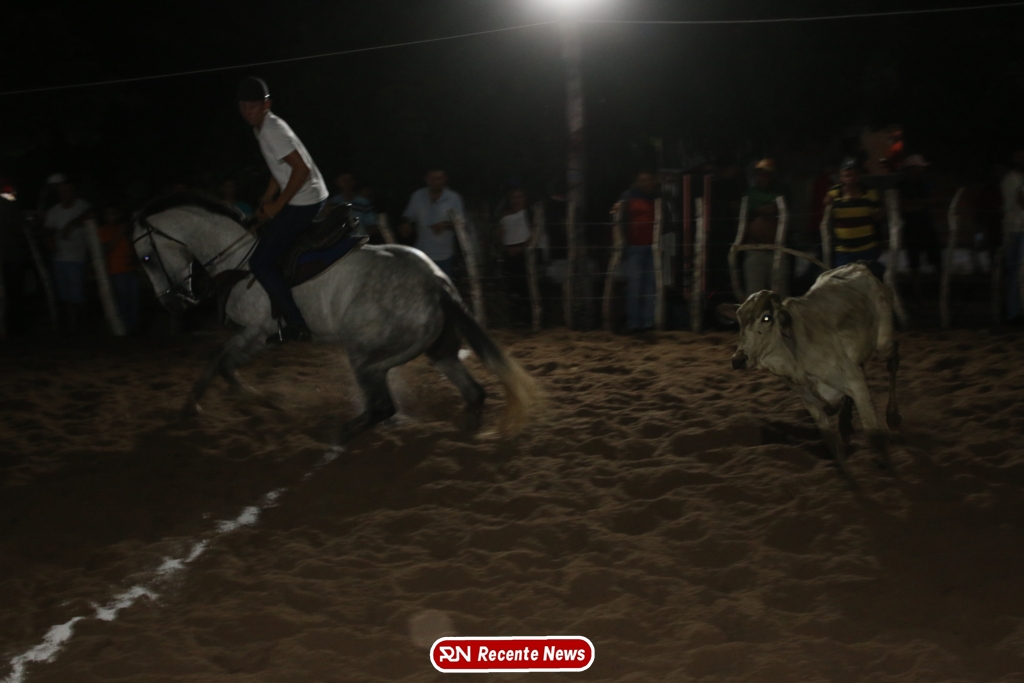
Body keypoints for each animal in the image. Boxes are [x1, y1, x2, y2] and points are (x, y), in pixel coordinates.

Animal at [132, 193, 539, 442]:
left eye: (146, 258)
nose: (173, 304)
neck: (239, 260)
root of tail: (438, 283)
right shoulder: (256, 336)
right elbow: (219, 364)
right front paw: (197, 406)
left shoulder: (257, 332)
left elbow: (222, 363)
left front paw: (263, 402)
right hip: (438, 351)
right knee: (473, 393)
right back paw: (464, 432)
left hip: (365, 351)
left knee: (382, 405)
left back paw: (340, 435)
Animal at [722, 263, 901, 478]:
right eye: (739, 320)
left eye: (766, 317)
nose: (738, 359)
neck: (796, 357)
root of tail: (858, 266)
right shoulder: (811, 403)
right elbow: (832, 448)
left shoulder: (855, 383)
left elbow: (875, 436)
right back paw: (846, 425)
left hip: (882, 343)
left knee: (893, 358)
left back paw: (892, 417)